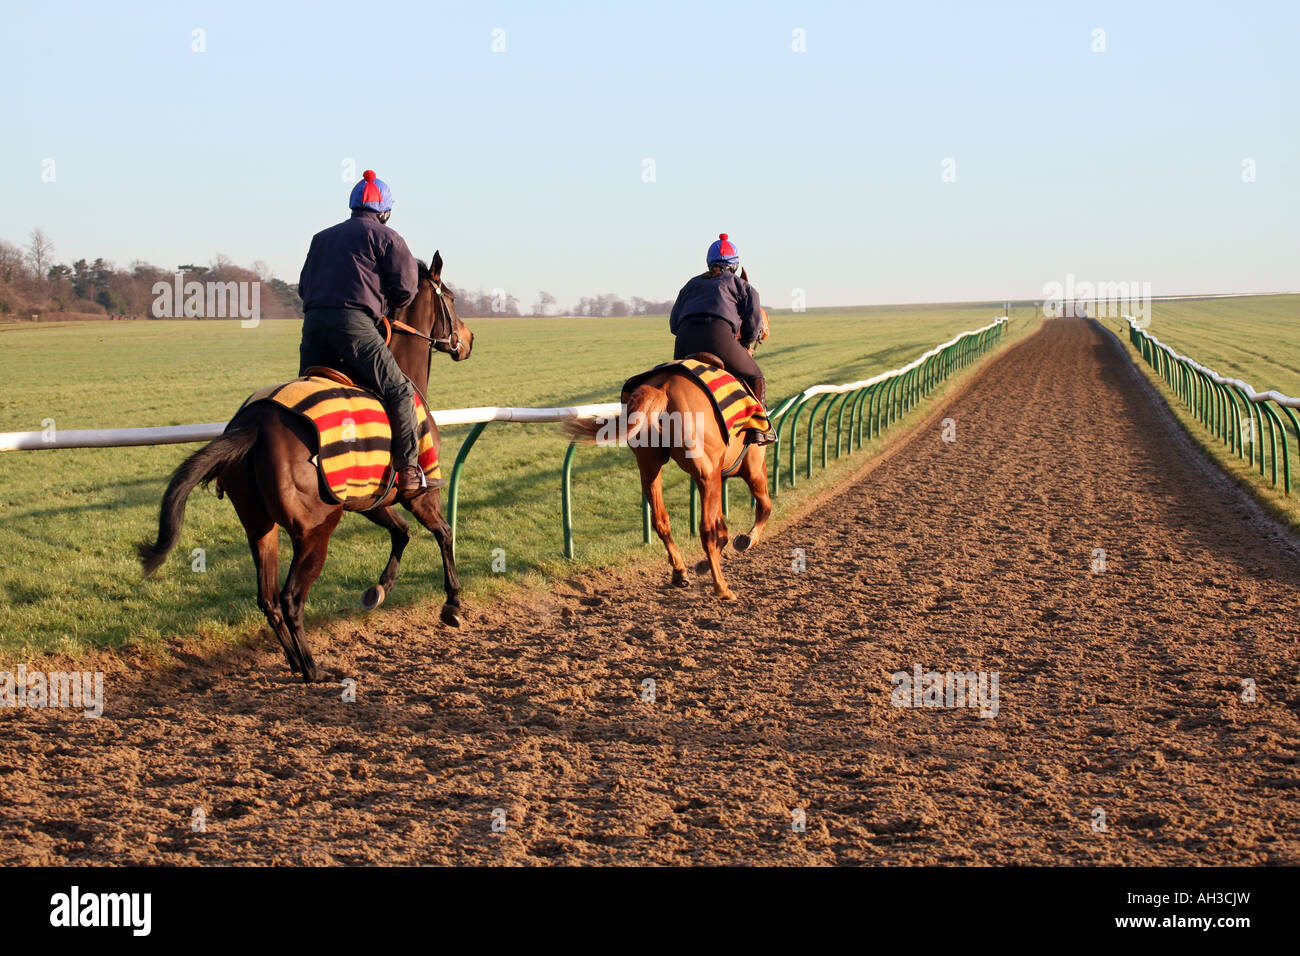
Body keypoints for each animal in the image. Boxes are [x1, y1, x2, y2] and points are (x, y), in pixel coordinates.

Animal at [139, 251, 473, 686]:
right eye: (449, 297)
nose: (469, 340)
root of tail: (253, 423)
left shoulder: (366, 499)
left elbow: (400, 533)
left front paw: (379, 589)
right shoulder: (419, 492)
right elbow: (443, 533)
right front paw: (452, 603)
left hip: (261, 526)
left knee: (267, 598)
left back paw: (298, 662)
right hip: (316, 530)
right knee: (291, 598)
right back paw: (313, 668)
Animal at [569, 280, 769, 600]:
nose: (764, 330)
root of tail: (661, 388)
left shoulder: (715, 475)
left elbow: (723, 526)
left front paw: (705, 561)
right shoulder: (750, 468)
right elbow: (763, 508)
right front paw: (745, 540)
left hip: (650, 466)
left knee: (661, 520)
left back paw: (680, 571)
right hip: (706, 473)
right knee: (705, 529)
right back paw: (722, 587)